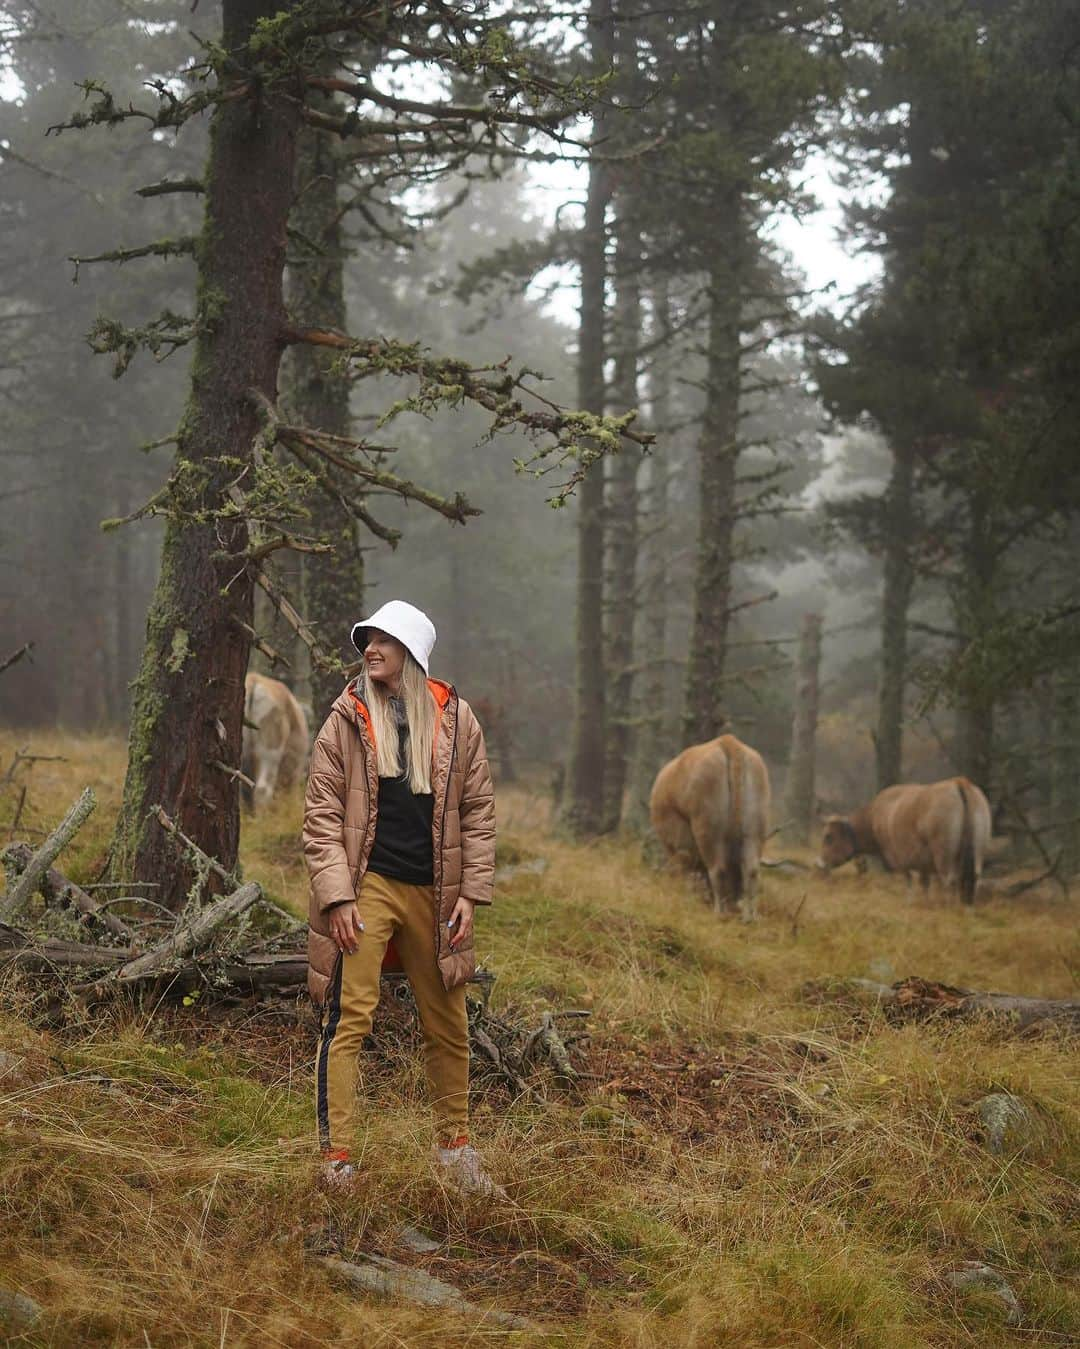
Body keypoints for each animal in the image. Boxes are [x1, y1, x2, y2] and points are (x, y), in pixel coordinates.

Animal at [644, 733, 771, 922]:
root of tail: (729, 743)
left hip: (707, 829)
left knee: (717, 869)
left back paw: (720, 912)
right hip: (755, 829)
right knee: (751, 870)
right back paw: (750, 917)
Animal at [819, 777, 992, 901]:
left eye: (828, 837)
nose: (819, 864)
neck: (875, 816)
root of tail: (958, 782)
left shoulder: (901, 858)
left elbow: (909, 881)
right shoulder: (923, 864)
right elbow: (924, 884)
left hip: (944, 855)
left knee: (950, 881)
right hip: (978, 853)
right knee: (972, 880)